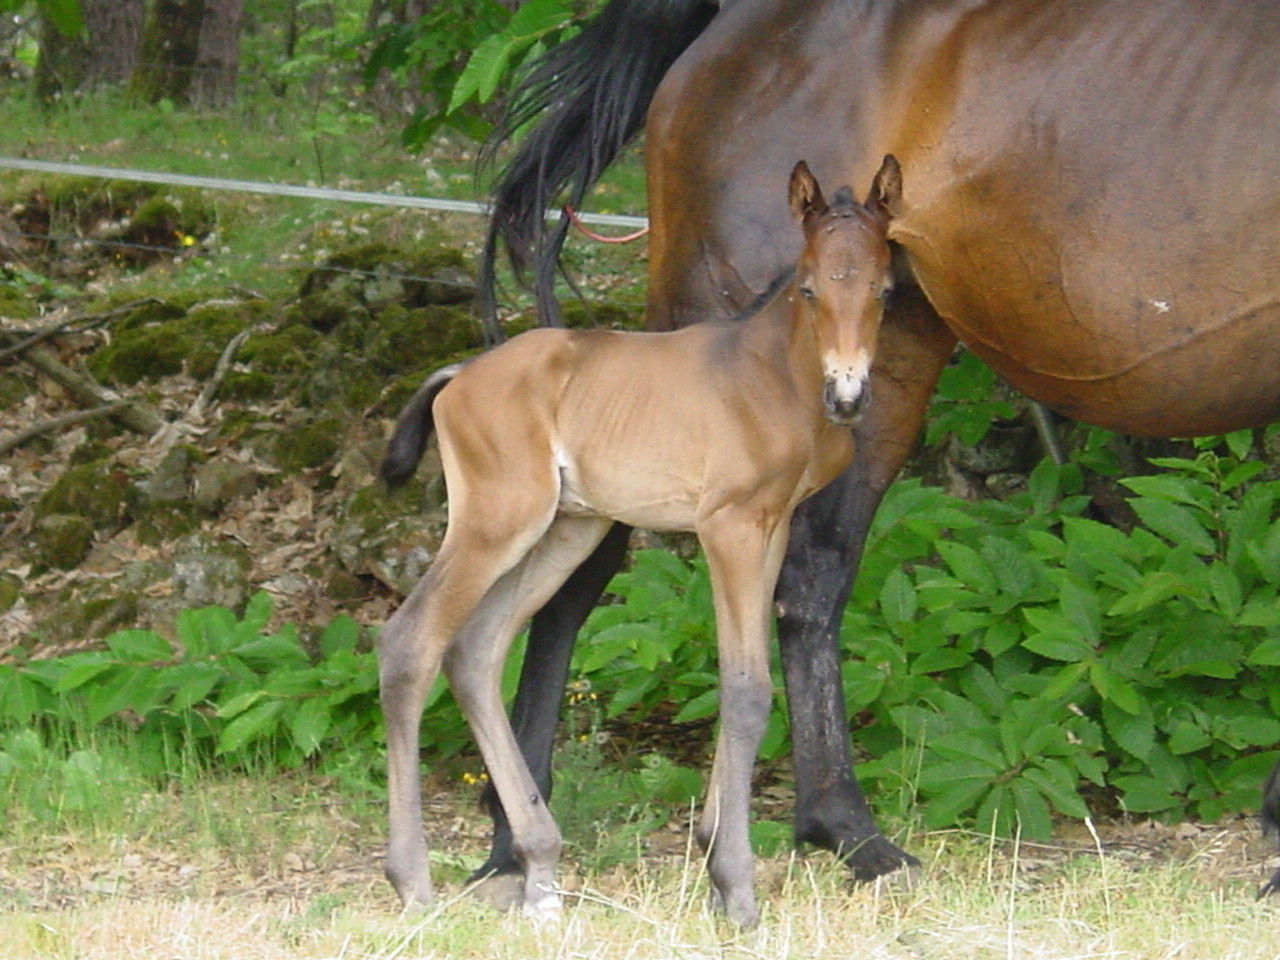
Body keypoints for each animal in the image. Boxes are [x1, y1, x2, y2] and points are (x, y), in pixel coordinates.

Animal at [376, 160, 901, 931]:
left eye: (883, 289)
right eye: (809, 287)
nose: (849, 395)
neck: (776, 372)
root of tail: (458, 375)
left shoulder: (772, 527)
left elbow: (740, 680)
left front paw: (713, 855)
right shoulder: (729, 526)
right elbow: (748, 690)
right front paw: (735, 887)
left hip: (567, 528)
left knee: (475, 650)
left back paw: (540, 871)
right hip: (498, 520)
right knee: (410, 641)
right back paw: (413, 881)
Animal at [473, 0, 1280, 896]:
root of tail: (729, 27)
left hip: (875, 374)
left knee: (810, 586)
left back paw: (846, 834)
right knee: (585, 572)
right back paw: (516, 837)